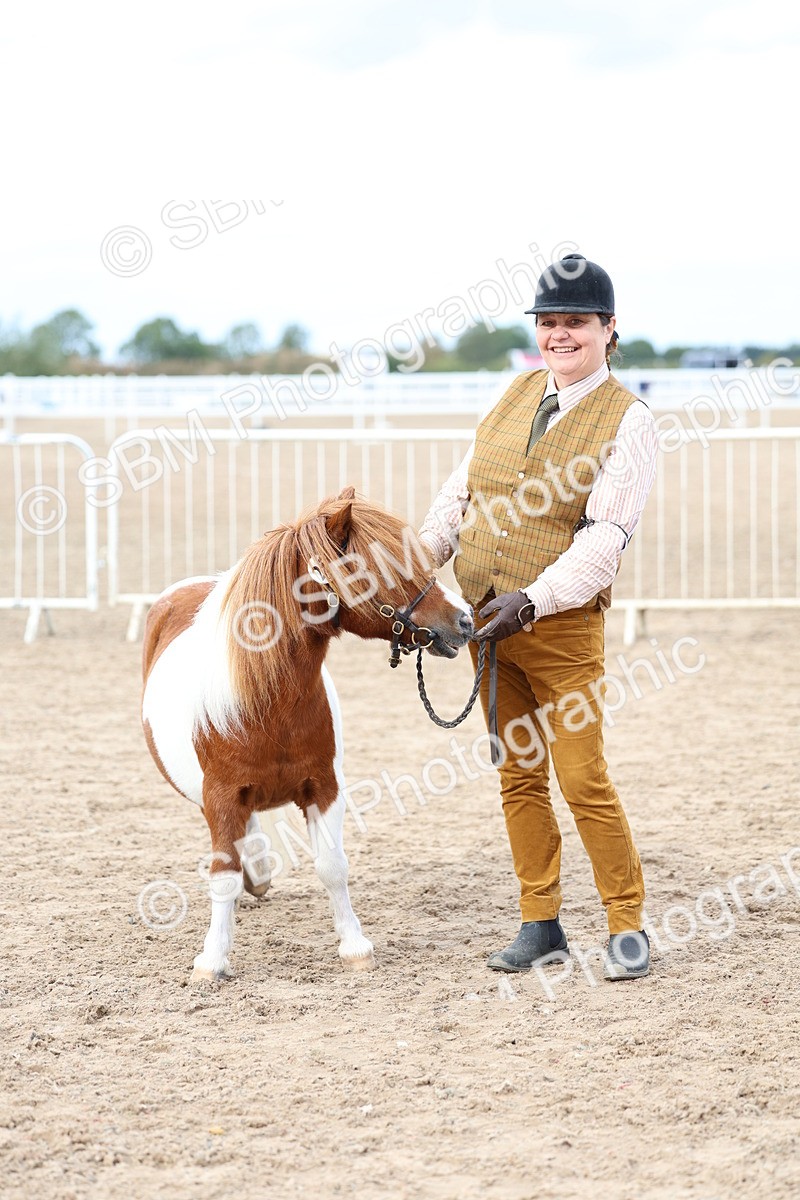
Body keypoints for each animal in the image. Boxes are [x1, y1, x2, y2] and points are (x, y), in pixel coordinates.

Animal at [140, 486, 473, 982]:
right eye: (384, 567)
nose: (466, 619)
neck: (266, 703)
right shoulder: (220, 798)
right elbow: (223, 877)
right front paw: (213, 960)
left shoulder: (324, 787)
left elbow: (332, 866)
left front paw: (355, 948)